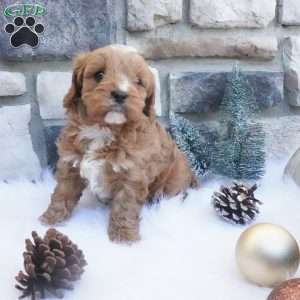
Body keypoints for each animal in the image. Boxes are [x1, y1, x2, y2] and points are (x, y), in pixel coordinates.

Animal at [39, 44, 198, 241]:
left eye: (138, 82)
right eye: (99, 74)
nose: (120, 94)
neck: (104, 128)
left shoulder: (132, 175)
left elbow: (125, 206)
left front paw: (124, 237)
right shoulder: (71, 164)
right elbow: (62, 192)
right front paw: (50, 218)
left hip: (172, 184)